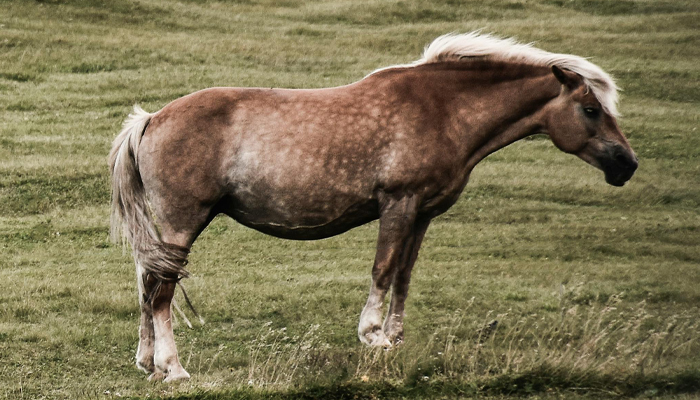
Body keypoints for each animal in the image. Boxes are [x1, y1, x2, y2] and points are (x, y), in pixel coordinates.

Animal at [108, 31, 636, 382]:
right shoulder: (399, 204)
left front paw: (395, 340)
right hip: (183, 224)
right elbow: (383, 270)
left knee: (147, 285)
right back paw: (173, 368)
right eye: (591, 110)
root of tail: (152, 119)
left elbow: (403, 275)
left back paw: (147, 362)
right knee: (160, 293)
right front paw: (373, 336)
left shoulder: (422, 214)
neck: (442, 109)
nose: (626, 164)